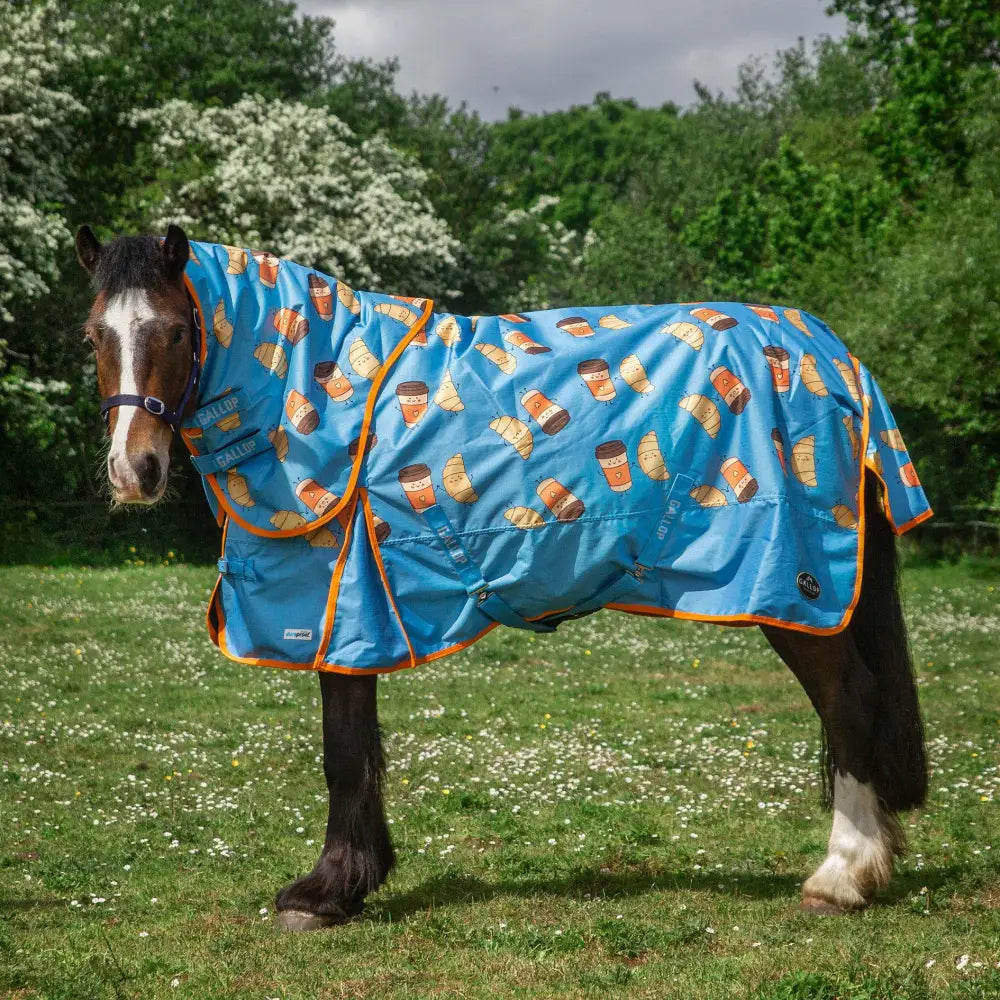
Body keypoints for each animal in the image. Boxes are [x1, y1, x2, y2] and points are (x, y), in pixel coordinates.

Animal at [75, 223, 929, 929]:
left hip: (796, 589)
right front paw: (358, 877)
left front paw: (324, 892)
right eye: (95, 336)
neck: (310, 398)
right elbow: (357, 749)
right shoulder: (357, 614)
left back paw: (842, 877)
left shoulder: (342, 609)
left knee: (850, 703)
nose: (133, 470)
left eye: (176, 330)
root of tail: (833, 356)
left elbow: (342, 751)